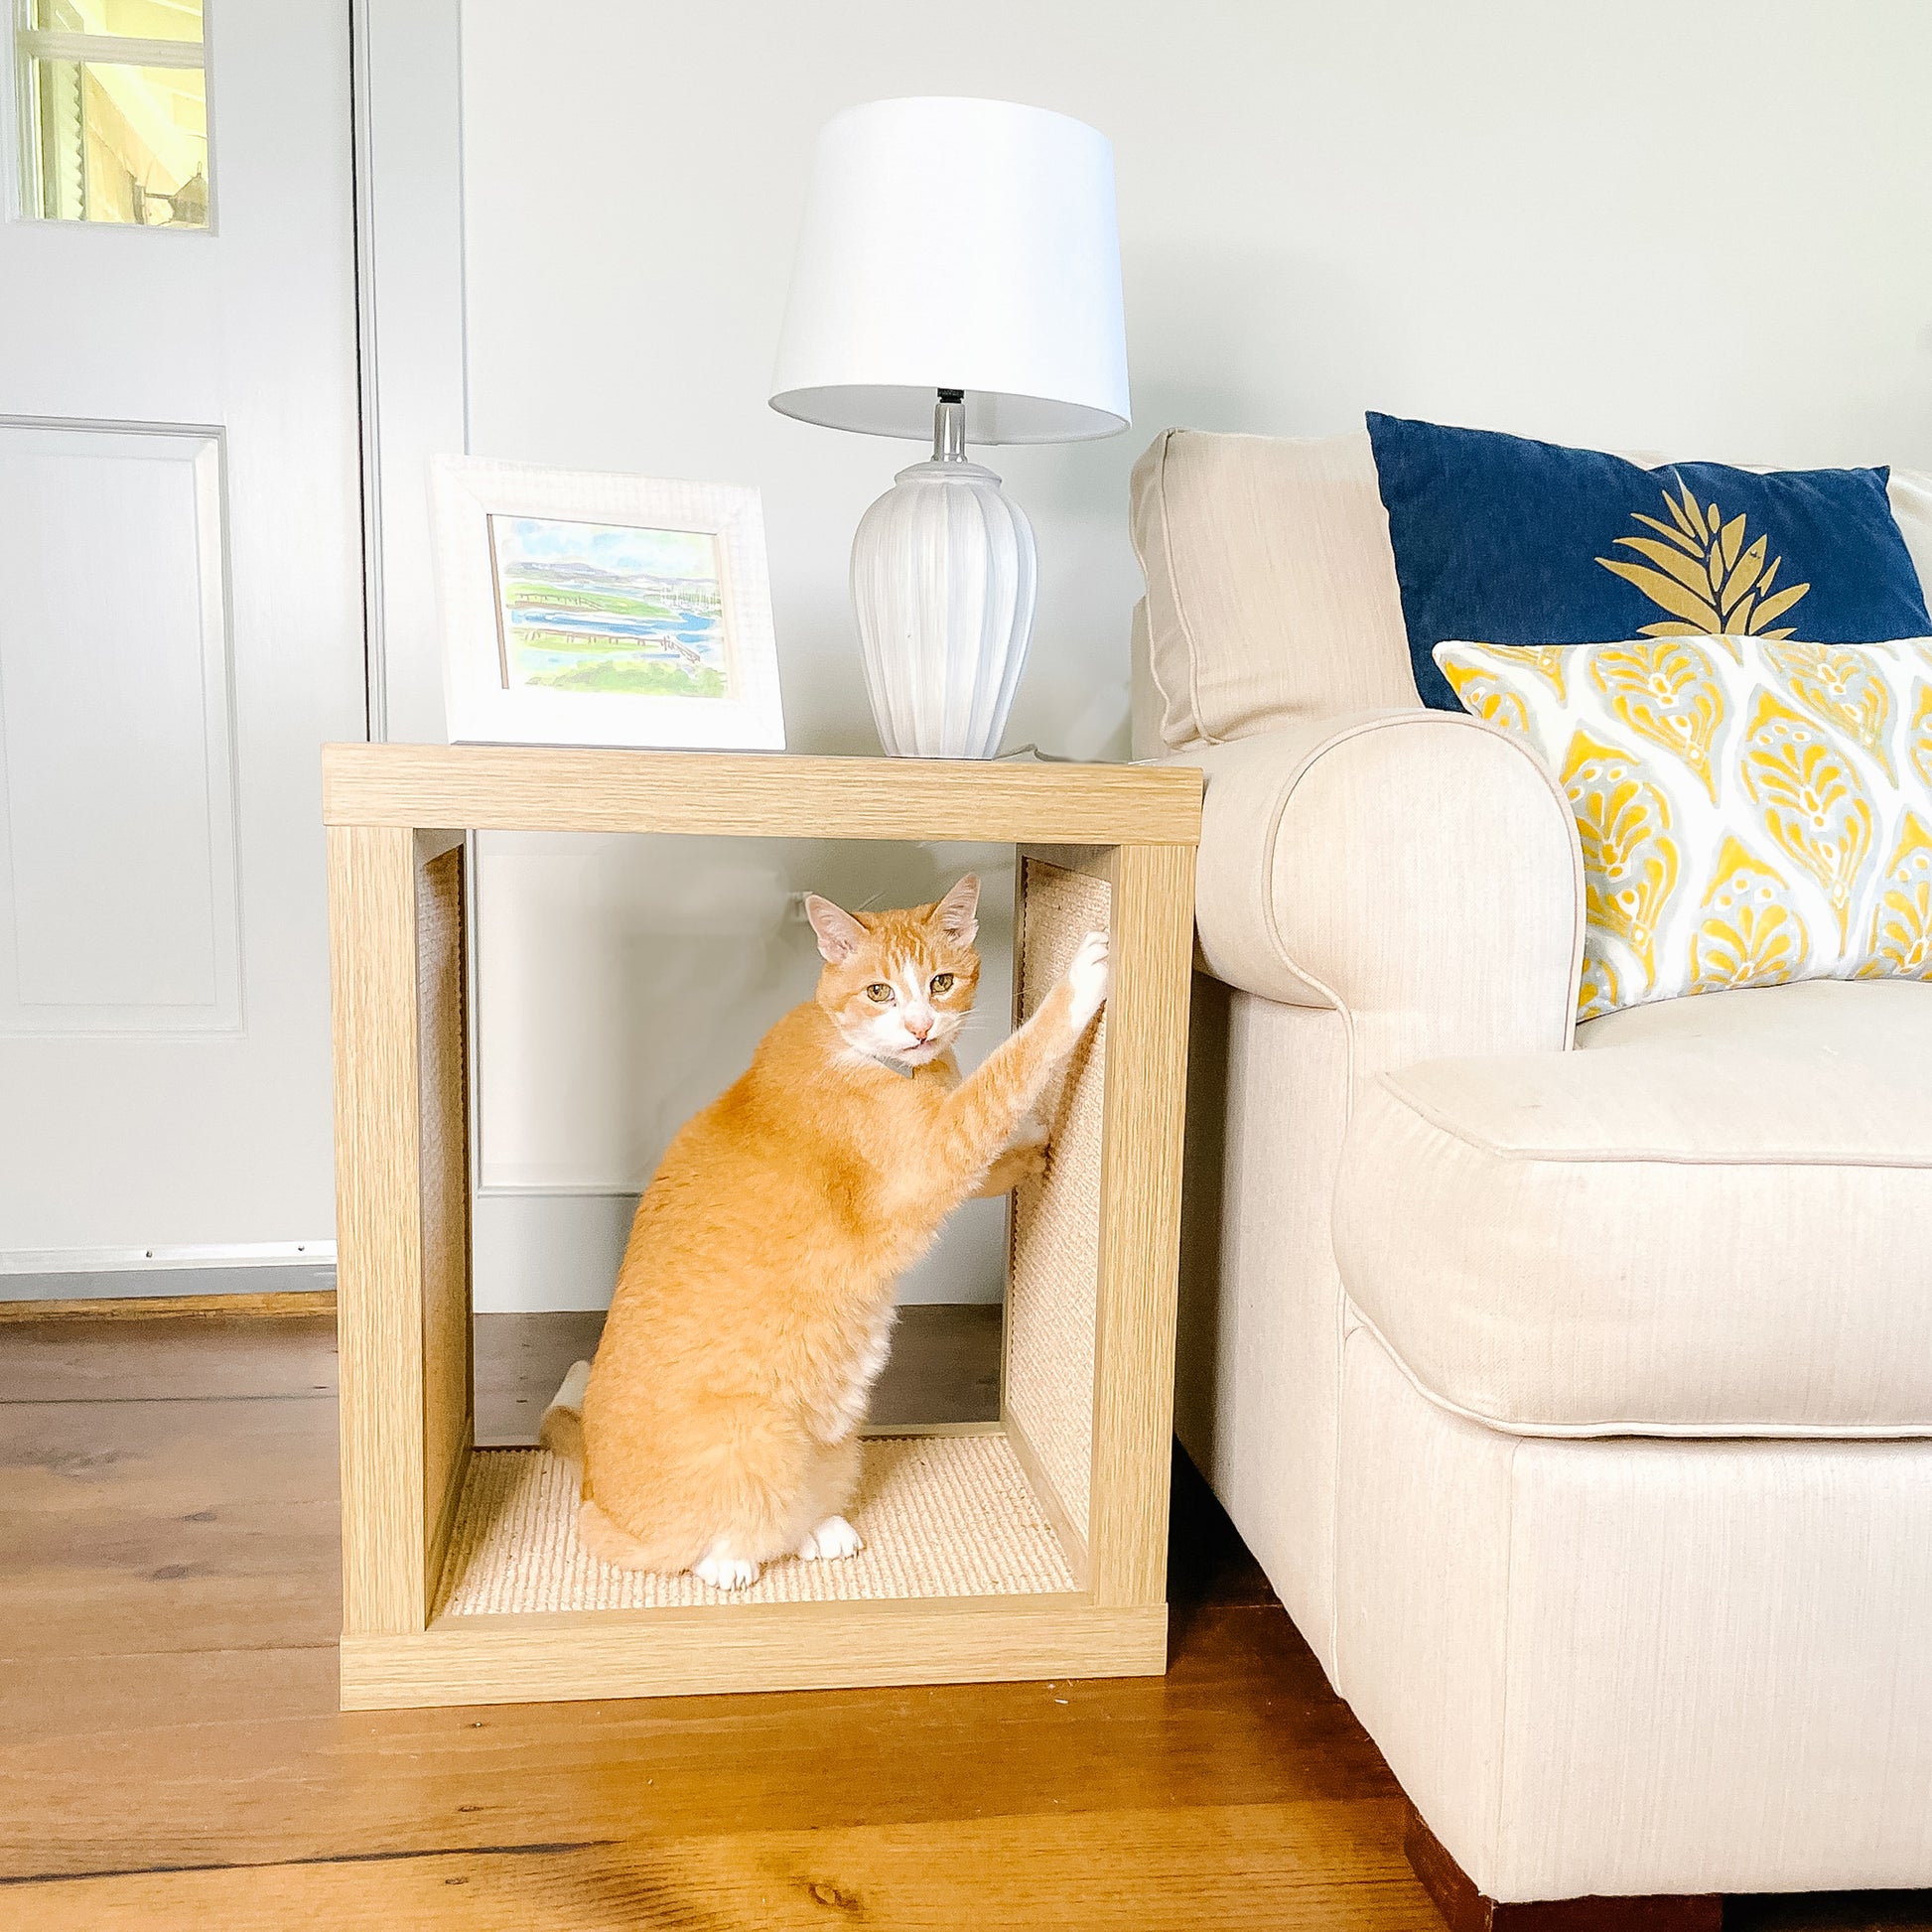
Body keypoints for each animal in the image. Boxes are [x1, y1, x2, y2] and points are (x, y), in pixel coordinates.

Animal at [536, 877, 1112, 1584]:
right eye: (879, 991)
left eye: (941, 981)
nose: (921, 1027)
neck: (881, 1060)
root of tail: (592, 1484)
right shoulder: (934, 1154)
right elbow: (1006, 1073)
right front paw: (1081, 981)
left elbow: (989, 1140)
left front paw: (1030, 1148)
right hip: (755, 1443)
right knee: (696, 1542)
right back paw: (728, 1561)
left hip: (836, 1440)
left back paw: (819, 1532)